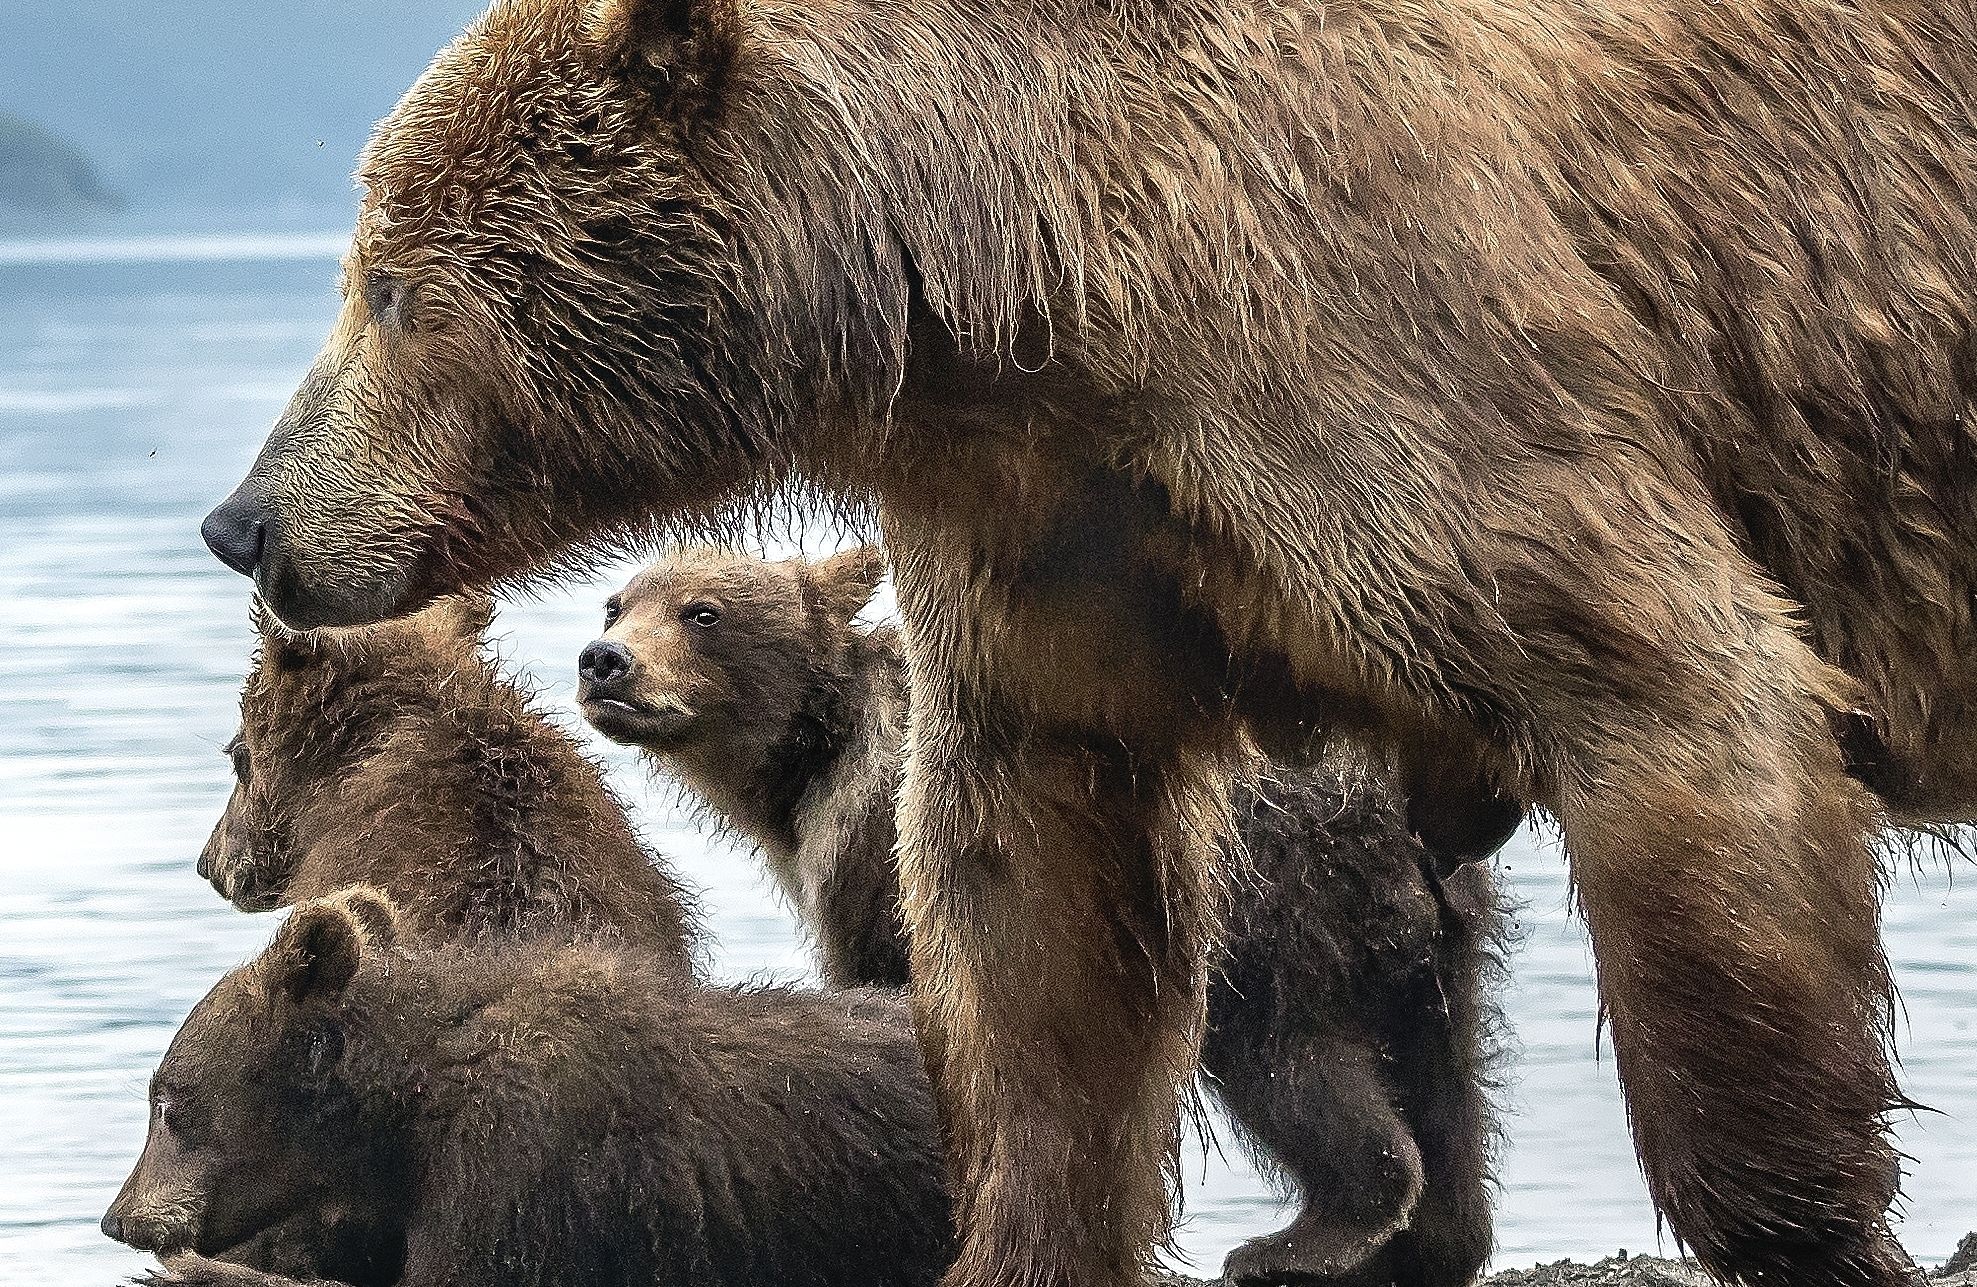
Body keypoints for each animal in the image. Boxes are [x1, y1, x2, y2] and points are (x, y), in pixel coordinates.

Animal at [577, 543, 1507, 1287]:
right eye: (617, 600)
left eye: (703, 611)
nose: (603, 660)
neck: (810, 764)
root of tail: (1389, 800)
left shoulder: (887, 863)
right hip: (1430, 927)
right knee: (1446, 1071)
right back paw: (1433, 1246)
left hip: (1271, 903)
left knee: (1291, 1060)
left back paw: (1294, 1241)